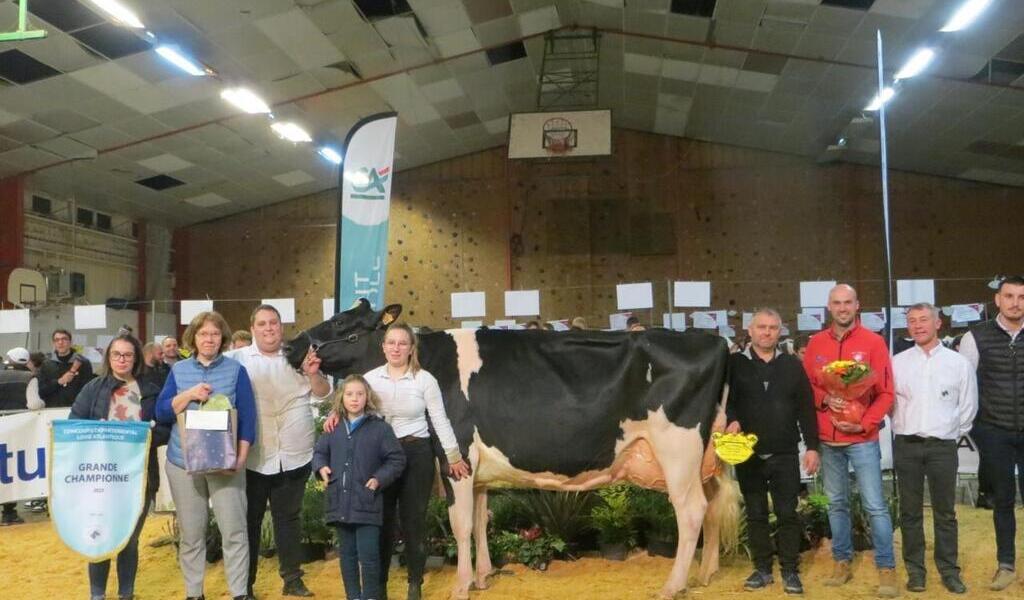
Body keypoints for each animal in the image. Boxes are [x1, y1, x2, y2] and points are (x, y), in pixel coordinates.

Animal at [286, 298, 737, 597]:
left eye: (343, 323)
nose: (292, 346)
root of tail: (715, 343)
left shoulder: (456, 456)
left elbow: (460, 523)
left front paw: (461, 586)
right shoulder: (478, 469)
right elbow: (481, 520)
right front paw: (484, 576)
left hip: (678, 451)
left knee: (692, 511)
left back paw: (673, 585)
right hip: (706, 456)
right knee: (715, 502)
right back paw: (707, 574)